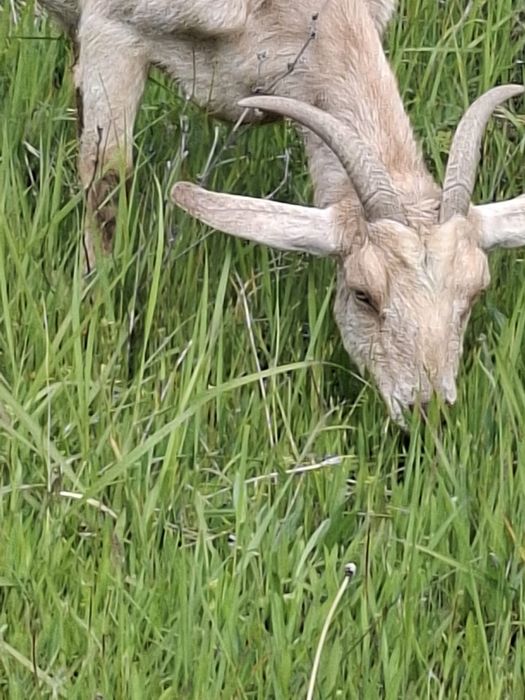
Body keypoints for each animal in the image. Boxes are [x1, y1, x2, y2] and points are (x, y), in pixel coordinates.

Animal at [40, 0, 525, 420]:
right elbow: (106, 185)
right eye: (363, 293)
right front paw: (98, 327)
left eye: (475, 291)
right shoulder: (110, 31)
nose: (427, 409)